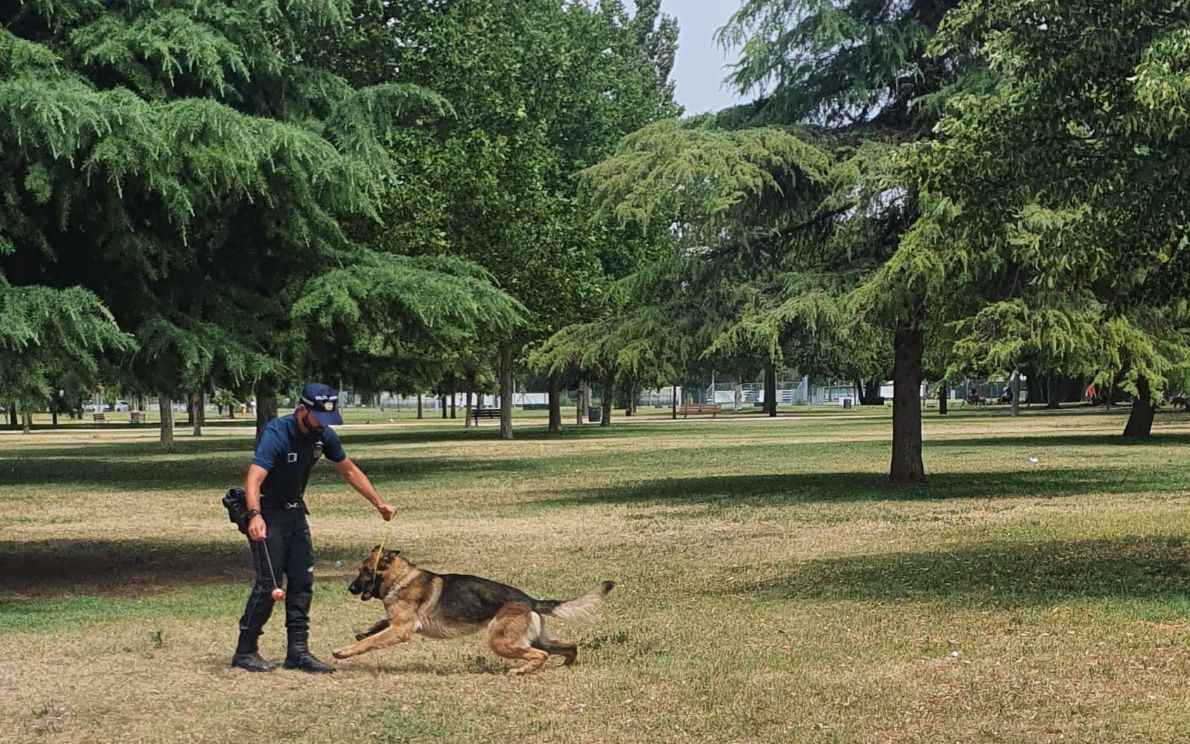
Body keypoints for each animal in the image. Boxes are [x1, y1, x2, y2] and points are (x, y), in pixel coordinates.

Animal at [333, 545, 614, 671]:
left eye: (365, 571)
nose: (350, 588)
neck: (402, 577)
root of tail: (529, 600)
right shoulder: (396, 623)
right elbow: (377, 628)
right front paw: (363, 632)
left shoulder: (402, 629)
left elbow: (370, 642)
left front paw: (344, 651)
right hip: (533, 639)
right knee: (568, 647)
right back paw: (565, 665)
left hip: (501, 642)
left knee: (541, 654)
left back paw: (521, 671)